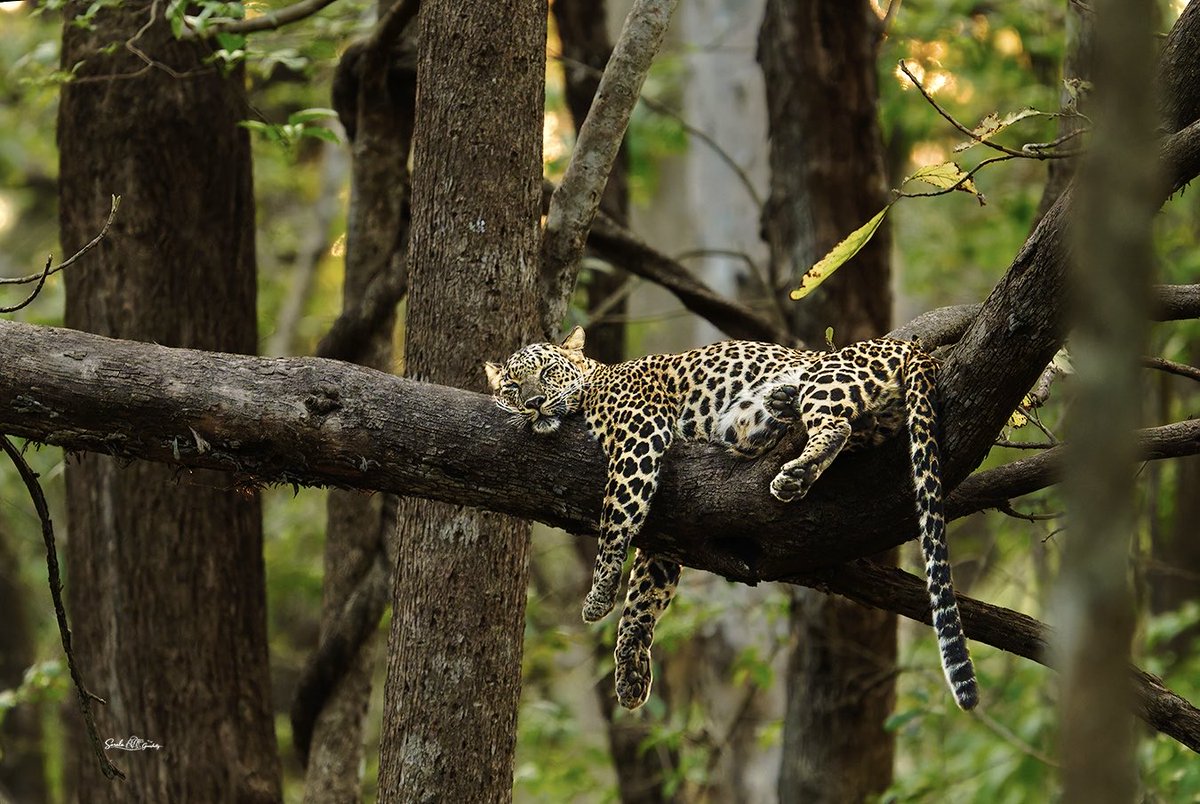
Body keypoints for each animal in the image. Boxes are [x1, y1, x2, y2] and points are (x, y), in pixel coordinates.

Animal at [485, 326, 977, 712]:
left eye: (547, 373)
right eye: (511, 387)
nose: (533, 402)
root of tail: (912, 347)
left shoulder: (640, 435)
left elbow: (616, 518)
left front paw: (598, 596)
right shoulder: (668, 531)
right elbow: (644, 596)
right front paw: (630, 671)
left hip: (827, 375)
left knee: (835, 424)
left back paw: (792, 462)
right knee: (849, 426)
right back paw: (783, 420)